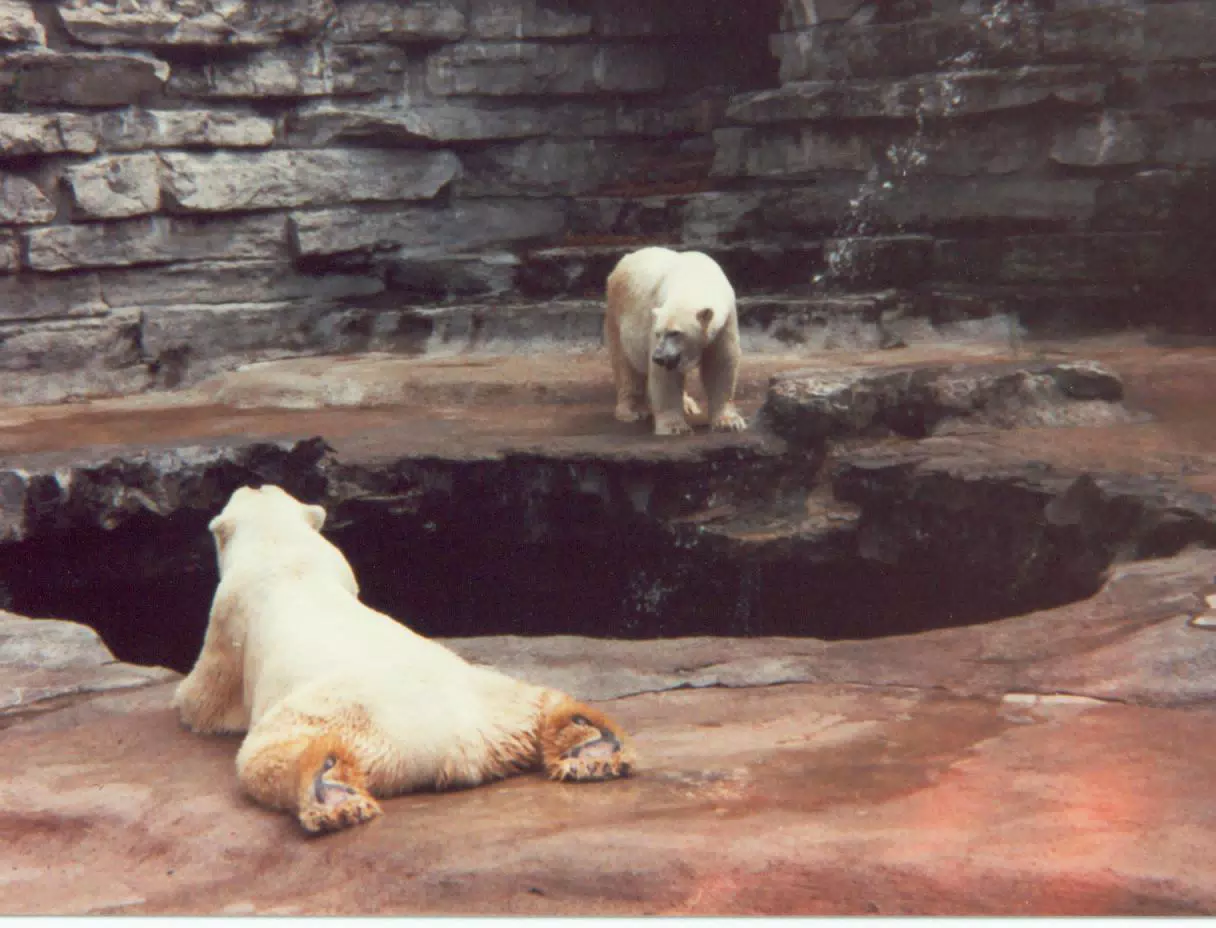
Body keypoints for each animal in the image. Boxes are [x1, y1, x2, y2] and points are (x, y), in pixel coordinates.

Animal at [172, 484, 635, 835]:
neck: (286, 556)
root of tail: (459, 745)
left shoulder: (229, 616)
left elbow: (207, 698)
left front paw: (181, 701)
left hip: (338, 719)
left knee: (271, 755)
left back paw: (331, 795)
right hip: (495, 700)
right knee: (540, 701)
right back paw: (592, 748)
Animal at [604, 246, 748, 437]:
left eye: (675, 333)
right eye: (658, 333)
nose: (658, 357)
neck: (693, 279)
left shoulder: (725, 320)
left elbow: (721, 363)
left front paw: (729, 422)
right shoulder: (655, 314)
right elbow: (664, 376)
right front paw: (675, 427)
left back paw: (688, 405)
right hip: (617, 314)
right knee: (625, 363)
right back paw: (632, 410)